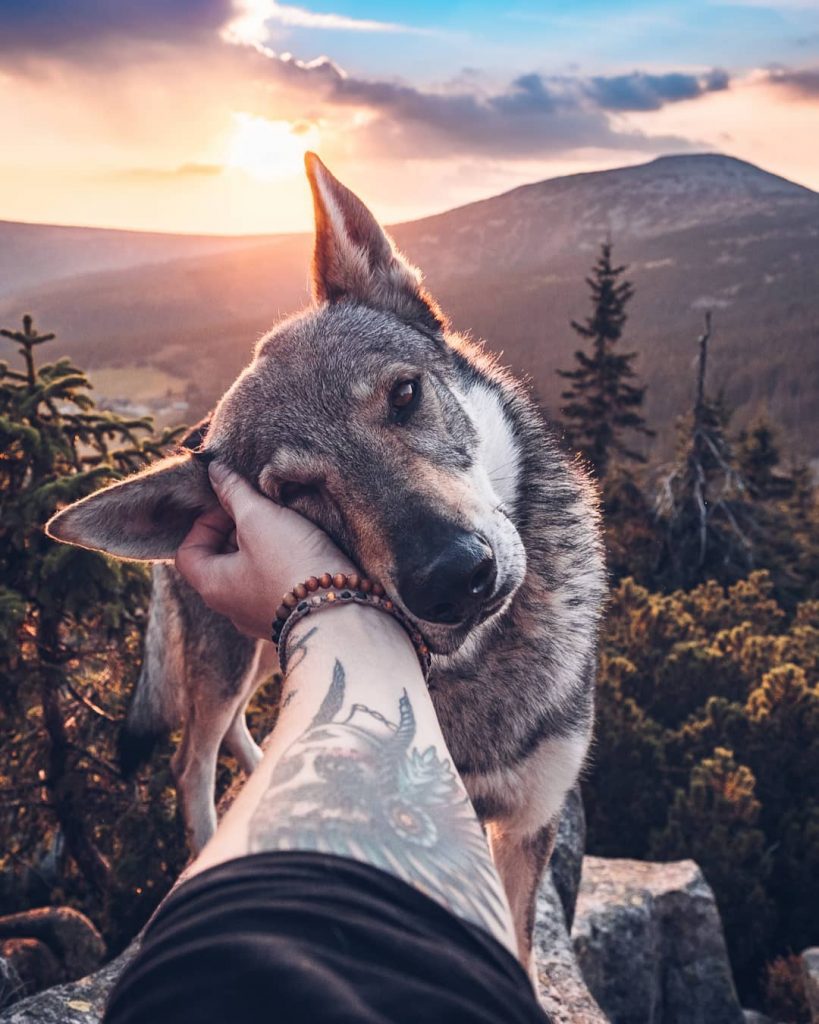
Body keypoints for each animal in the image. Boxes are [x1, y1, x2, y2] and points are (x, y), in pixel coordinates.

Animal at [46, 153, 606, 967]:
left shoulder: (529, 821)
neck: (476, 672)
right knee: (191, 761)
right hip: (228, 661)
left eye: (404, 394)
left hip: (264, 653)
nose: (452, 579)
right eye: (295, 492)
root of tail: (185, 439)